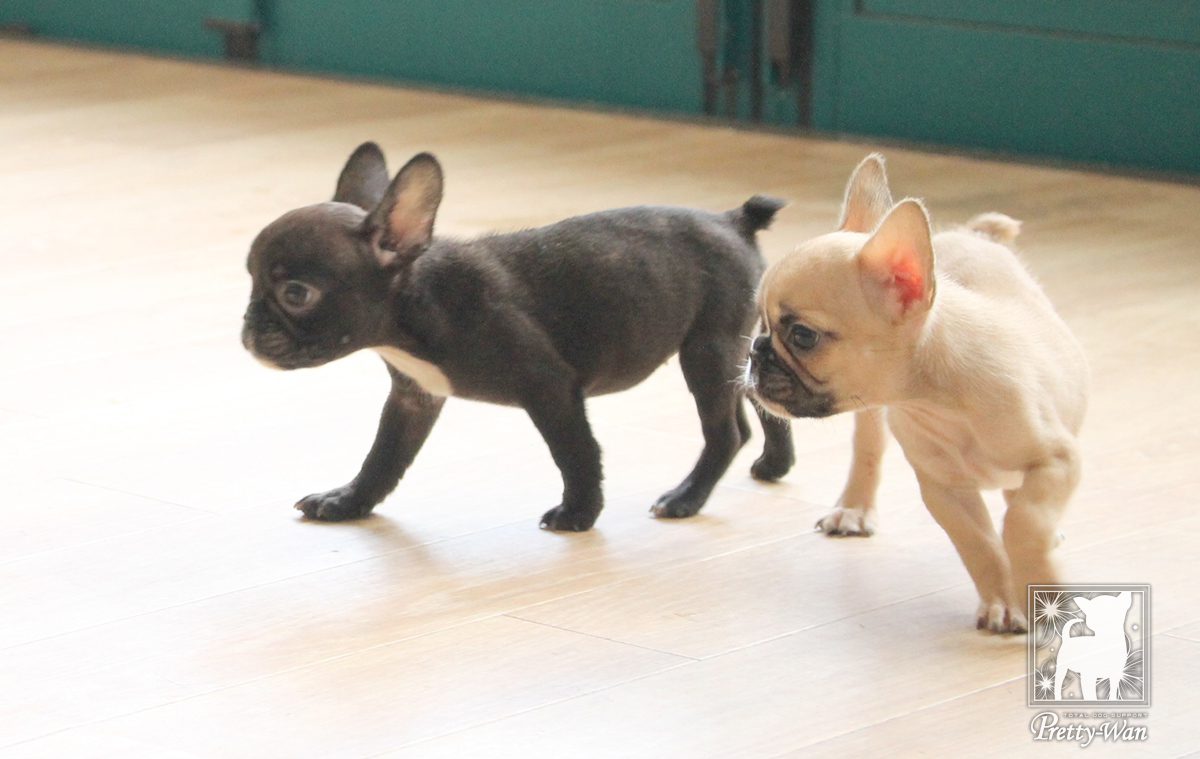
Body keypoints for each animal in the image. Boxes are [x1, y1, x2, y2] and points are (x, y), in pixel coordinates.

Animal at [242, 142, 795, 531]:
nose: (248, 327)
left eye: (296, 293)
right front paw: (348, 502)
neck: (419, 304)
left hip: (706, 349)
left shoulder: (550, 389)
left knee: (725, 431)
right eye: (249, 277)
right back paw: (774, 463)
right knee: (764, 400)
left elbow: (575, 452)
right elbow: (383, 456)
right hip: (736, 349)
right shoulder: (414, 397)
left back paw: (686, 497)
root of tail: (733, 221)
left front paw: (579, 513)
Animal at [744, 154, 1088, 632]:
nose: (755, 351)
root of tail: (972, 234)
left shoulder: (1058, 459)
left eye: (802, 336)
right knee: (867, 451)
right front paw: (1004, 601)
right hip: (872, 419)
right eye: (760, 321)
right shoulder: (944, 488)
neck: (942, 395)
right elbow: (979, 544)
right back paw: (854, 507)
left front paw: (1044, 587)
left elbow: (1025, 522)